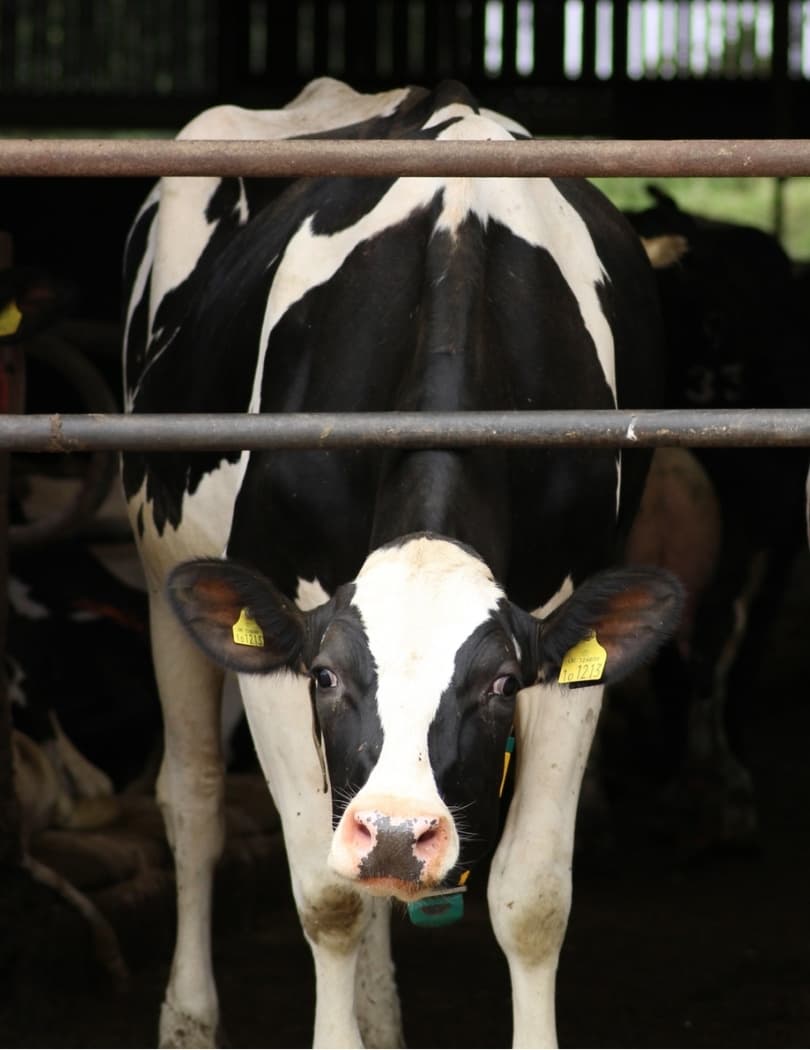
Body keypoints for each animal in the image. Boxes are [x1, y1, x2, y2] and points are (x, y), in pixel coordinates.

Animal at [121, 77, 683, 1048]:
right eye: (327, 678)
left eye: (499, 684)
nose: (395, 833)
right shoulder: (281, 643)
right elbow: (328, 897)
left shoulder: (570, 653)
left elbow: (533, 900)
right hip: (165, 585)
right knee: (192, 800)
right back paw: (189, 1015)